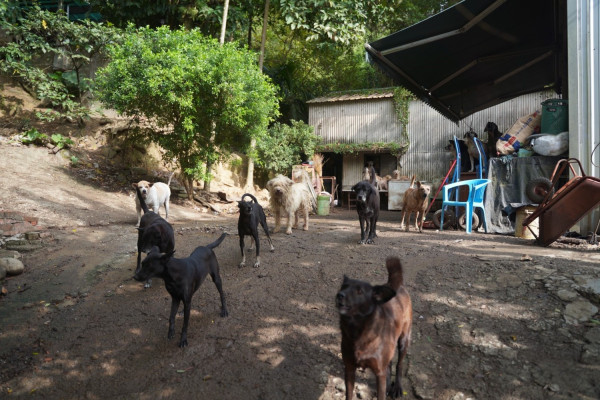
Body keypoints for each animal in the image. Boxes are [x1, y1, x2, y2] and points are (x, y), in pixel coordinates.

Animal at [336, 258, 414, 398]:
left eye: (359, 291)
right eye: (343, 287)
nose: (339, 295)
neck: (357, 330)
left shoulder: (379, 373)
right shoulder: (349, 368)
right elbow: (349, 394)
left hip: (404, 340)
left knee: (399, 364)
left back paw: (397, 387)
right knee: (389, 364)